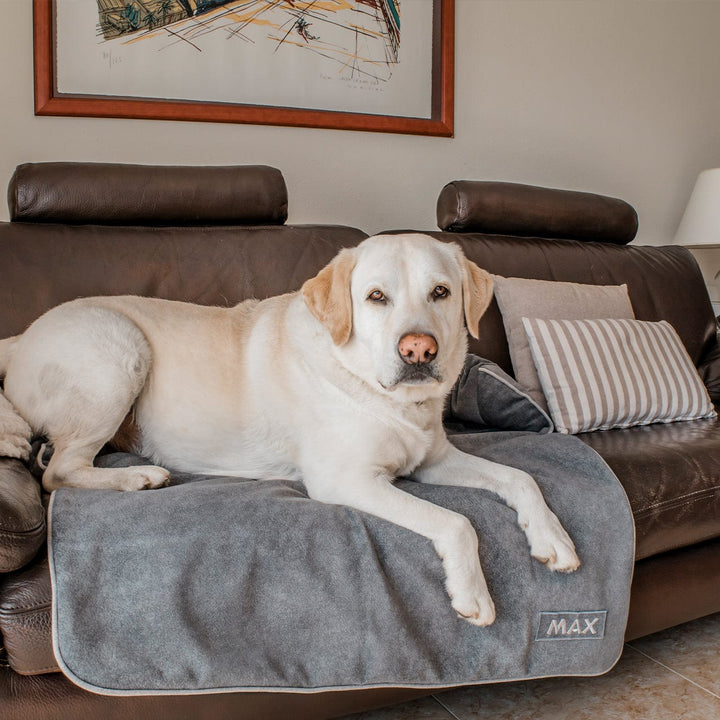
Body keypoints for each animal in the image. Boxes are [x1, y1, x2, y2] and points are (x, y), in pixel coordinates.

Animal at [0, 233, 576, 620]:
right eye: (376, 297)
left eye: (440, 292)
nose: (419, 350)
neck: (384, 395)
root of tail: (23, 334)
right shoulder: (348, 479)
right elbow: (457, 522)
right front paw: (472, 591)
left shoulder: (434, 460)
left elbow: (521, 478)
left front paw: (553, 539)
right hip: (119, 350)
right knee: (59, 470)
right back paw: (137, 477)